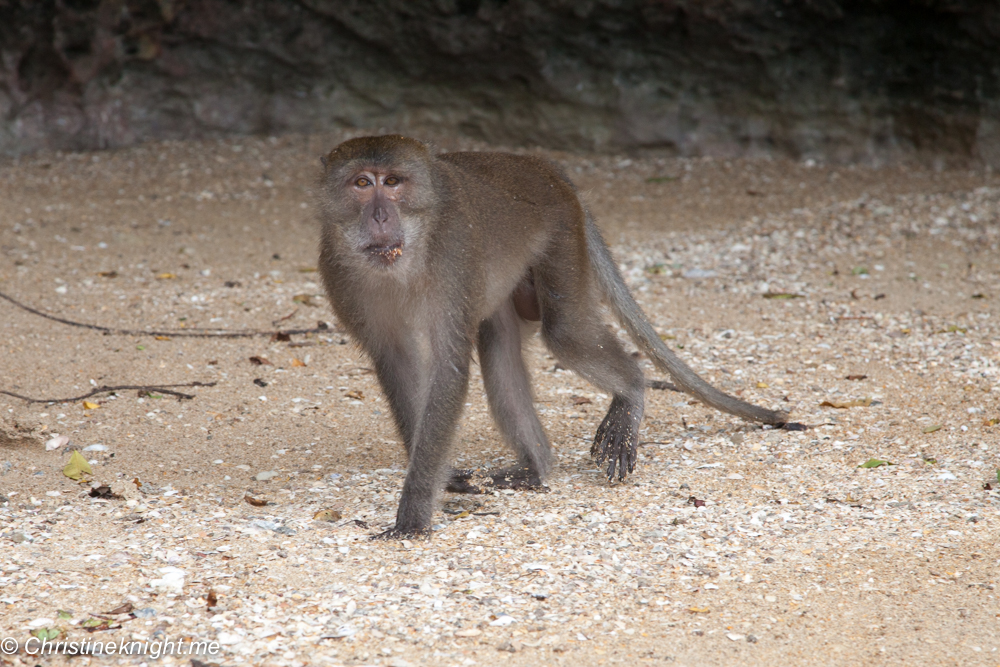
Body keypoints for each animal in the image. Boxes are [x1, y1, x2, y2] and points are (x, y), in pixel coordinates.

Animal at [316, 134, 784, 536]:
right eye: (362, 183)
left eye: (393, 182)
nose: (380, 216)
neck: (404, 261)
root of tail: (544, 166)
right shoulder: (340, 274)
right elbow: (397, 366)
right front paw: (442, 478)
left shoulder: (453, 258)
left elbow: (448, 369)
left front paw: (413, 513)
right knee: (499, 343)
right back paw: (535, 468)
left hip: (561, 232)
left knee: (566, 333)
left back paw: (631, 392)